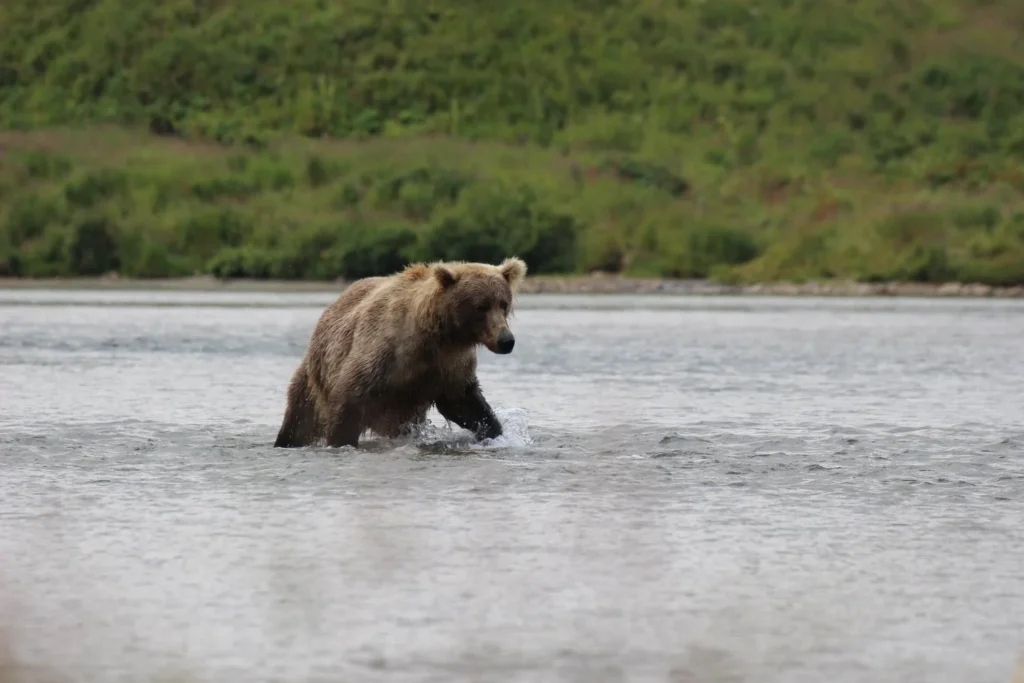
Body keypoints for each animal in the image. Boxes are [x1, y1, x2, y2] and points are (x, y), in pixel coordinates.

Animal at [273, 257, 528, 449]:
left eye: (503, 303)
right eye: (481, 306)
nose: (506, 341)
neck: (437, 336)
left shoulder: (450, 366)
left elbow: (466, 403)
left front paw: (495, 431)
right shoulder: (384, 353)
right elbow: (350, 398)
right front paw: (341, 441)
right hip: (312, 380)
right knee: (299, 419)